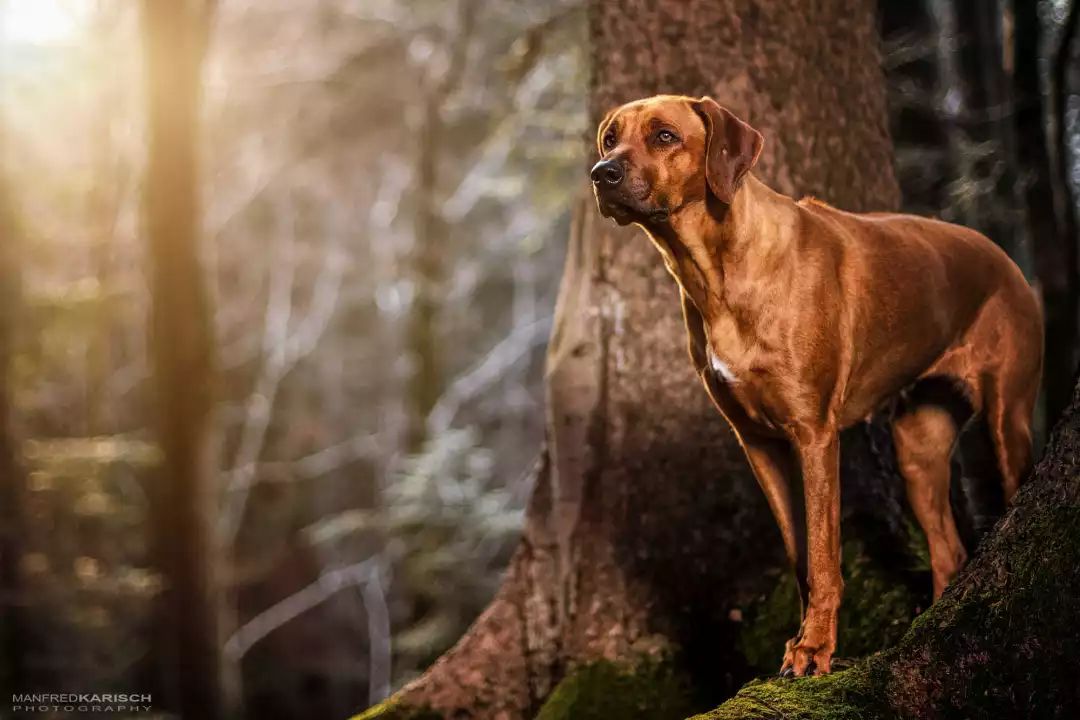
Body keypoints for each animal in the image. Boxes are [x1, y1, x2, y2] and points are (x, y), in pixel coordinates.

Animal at [596, 94, 1041, 677]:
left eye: (665, 135)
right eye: (610, 138)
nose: (601, 173)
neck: (719, 271)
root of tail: (1001, 253)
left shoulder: (814, 435)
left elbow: (825, 556)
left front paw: (815, 649)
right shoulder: (759, 445)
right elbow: (799, 556)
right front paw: (802, 638)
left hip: (1007, 416)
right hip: (916, 447)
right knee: (949, 549)